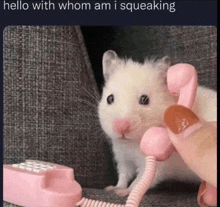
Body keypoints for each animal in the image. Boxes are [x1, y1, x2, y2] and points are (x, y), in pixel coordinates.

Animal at [98, 50, 217, 197]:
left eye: (145, 100)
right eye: (109, 98)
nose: (121, 127)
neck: (132, 143)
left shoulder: (157, 164)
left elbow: (139, 180)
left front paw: (123, 192)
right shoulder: (122, 157)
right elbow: (124, 175)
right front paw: (112, 188)